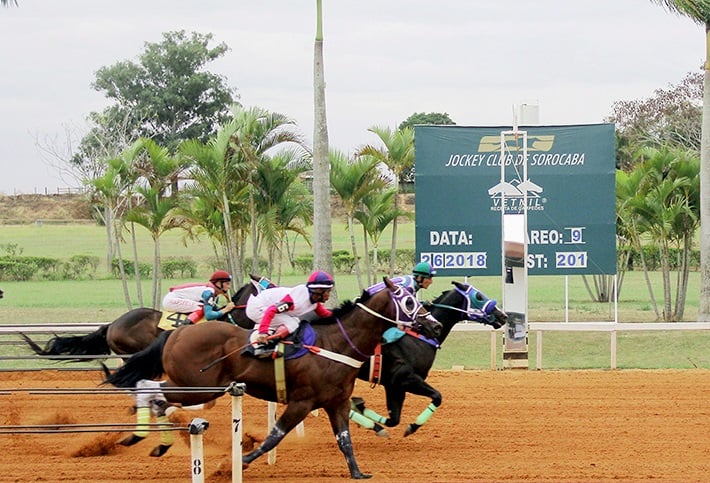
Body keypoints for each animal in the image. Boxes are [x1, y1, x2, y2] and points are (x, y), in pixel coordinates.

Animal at [103, 278, 442, 482]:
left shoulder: (337, 403)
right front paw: (238, 462)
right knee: (152, 391)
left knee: (157, 398)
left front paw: (358, 472)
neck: (338, 344)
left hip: (196, 385)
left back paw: (153, 441)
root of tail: (178, 331)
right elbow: (273, 437)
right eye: (409, 302)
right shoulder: (302, 401)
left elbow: (344, 441)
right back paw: (138, 435)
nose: (435, 326)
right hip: (196, 384)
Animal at [350, 280, 506, 438]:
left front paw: (360, 407)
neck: (419, 337)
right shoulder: (405, 378)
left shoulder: (393, 385)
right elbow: (437, 396)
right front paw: (412, 426)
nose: (503, 316)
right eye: (479, 296)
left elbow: (393, 420)